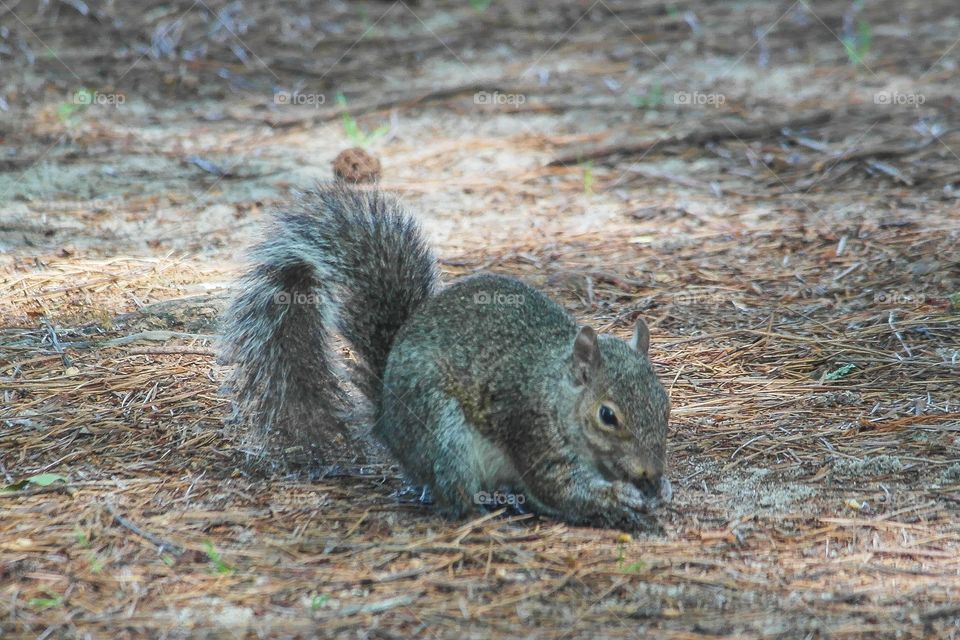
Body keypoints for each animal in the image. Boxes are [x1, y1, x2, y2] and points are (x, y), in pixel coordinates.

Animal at [220, 184, 671, 531]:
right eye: (607, 416)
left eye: (665, 403)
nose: (649, 473)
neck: (557, 393)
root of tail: (387, 419)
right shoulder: (531, 429)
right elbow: (558, 487)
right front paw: (619, 498)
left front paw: (654, 491)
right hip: (442, 431)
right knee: (453, 495)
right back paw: (484, 517)